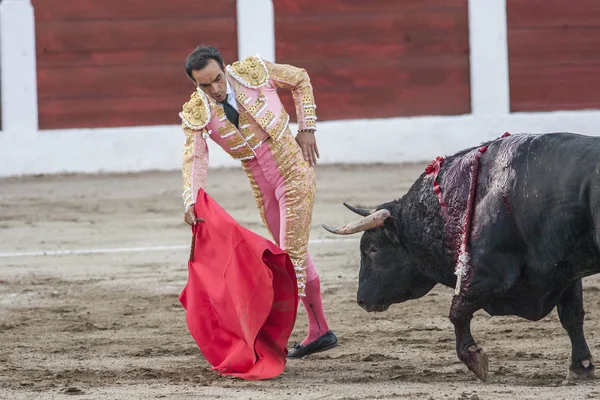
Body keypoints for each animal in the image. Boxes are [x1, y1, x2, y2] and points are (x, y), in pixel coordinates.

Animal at [324, 134, 600, 382]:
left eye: (373, 249)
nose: (361, 300)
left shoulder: (488, 274)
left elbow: (457, 311)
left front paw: (474, 358)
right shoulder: (564, 272)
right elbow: (572, 316)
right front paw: (581, 366)